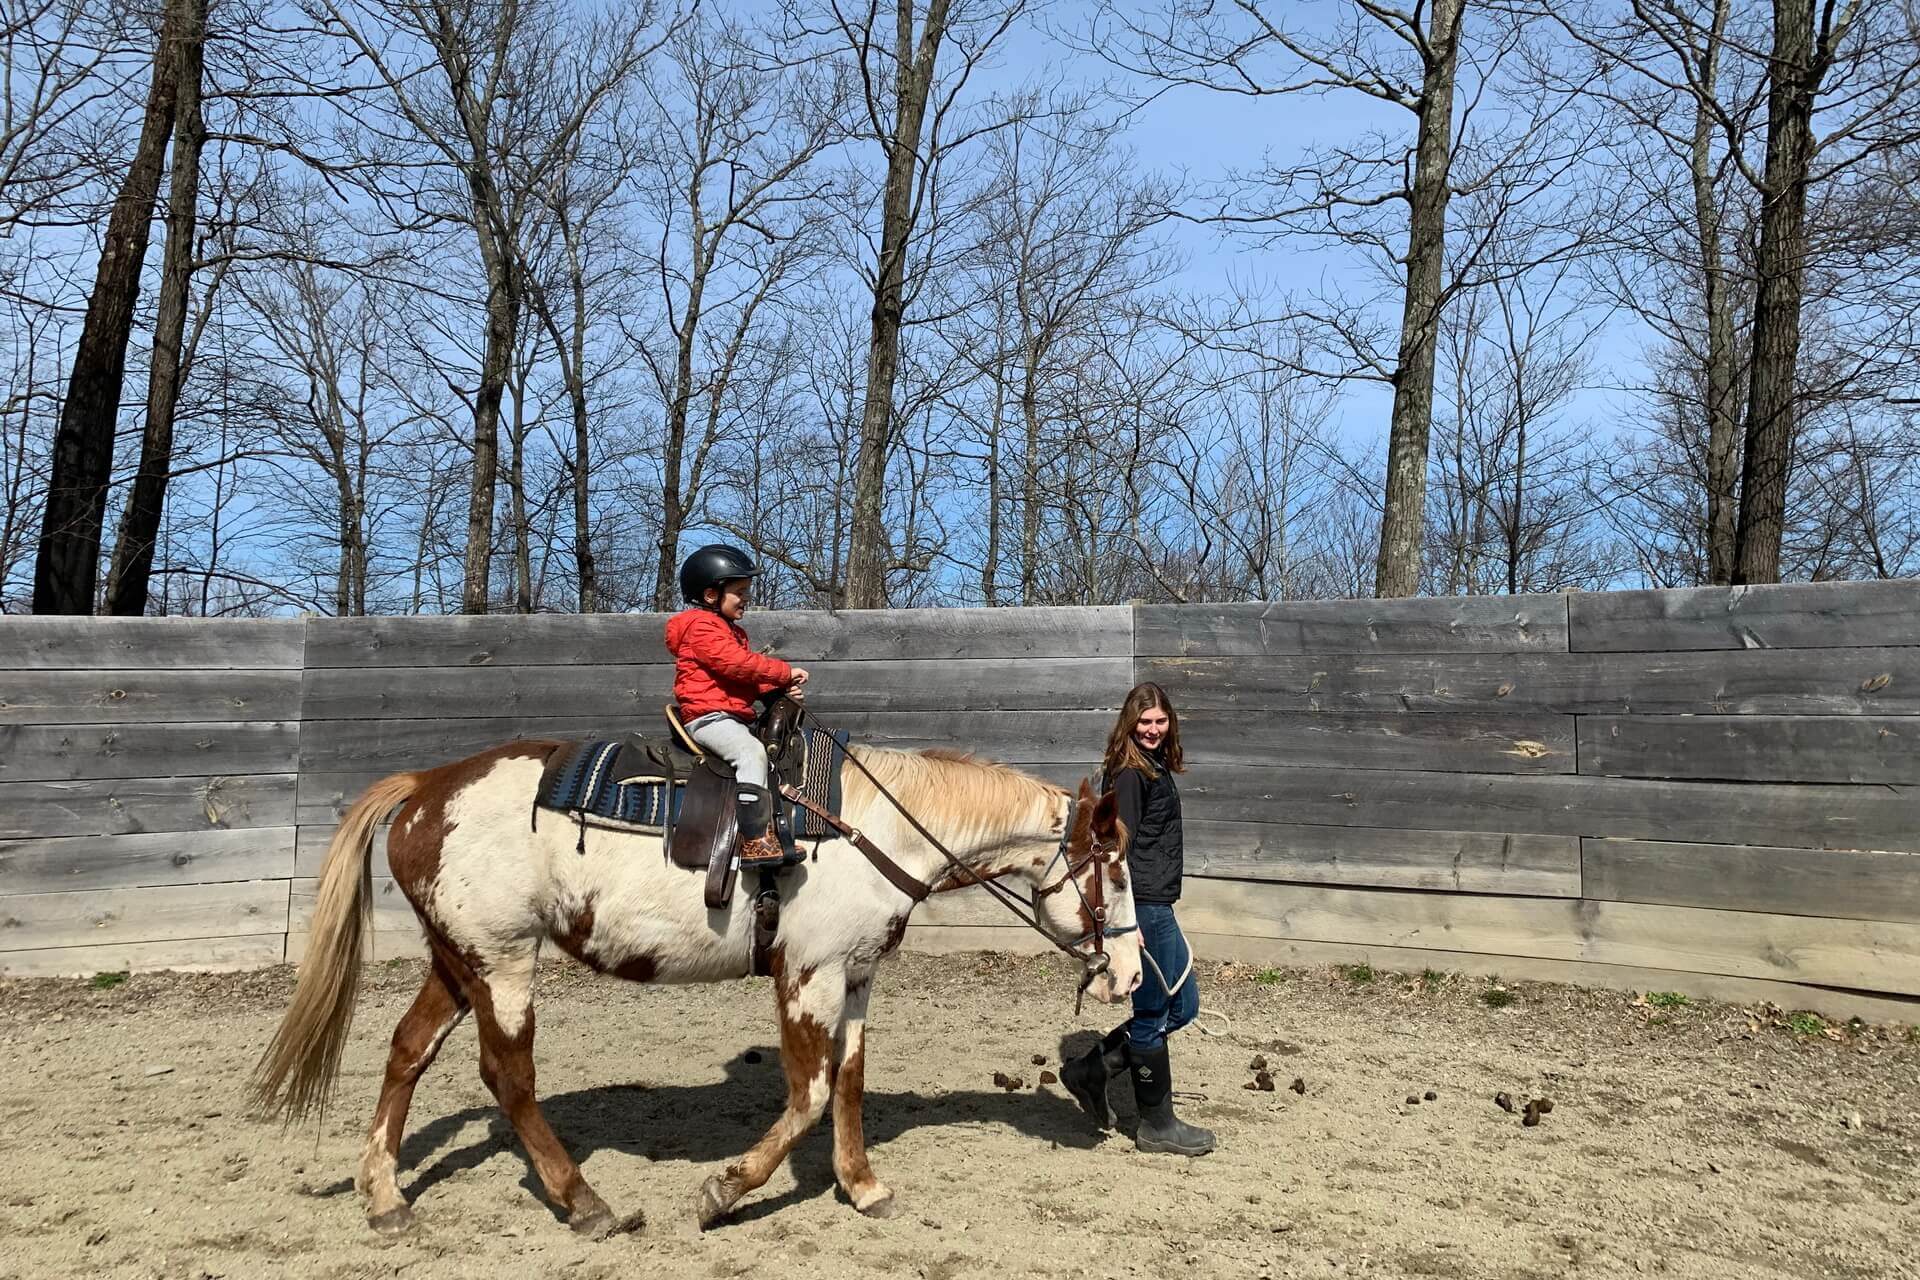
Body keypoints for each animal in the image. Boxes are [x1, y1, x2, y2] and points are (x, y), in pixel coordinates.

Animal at [245, 744, 1128, 1235]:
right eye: (1115, 874)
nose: (1128, 976)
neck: (866, 830)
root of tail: (428, 784)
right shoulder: (806, 975)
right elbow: (808, 1094)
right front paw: (723, 1192)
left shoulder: (857, 975)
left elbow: (847, 1083)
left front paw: (864, 1187)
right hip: (501, 963)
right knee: (509, 1077)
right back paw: (585, 1202)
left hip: (457, 960)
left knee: (407, 1051)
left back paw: (385, 1197)